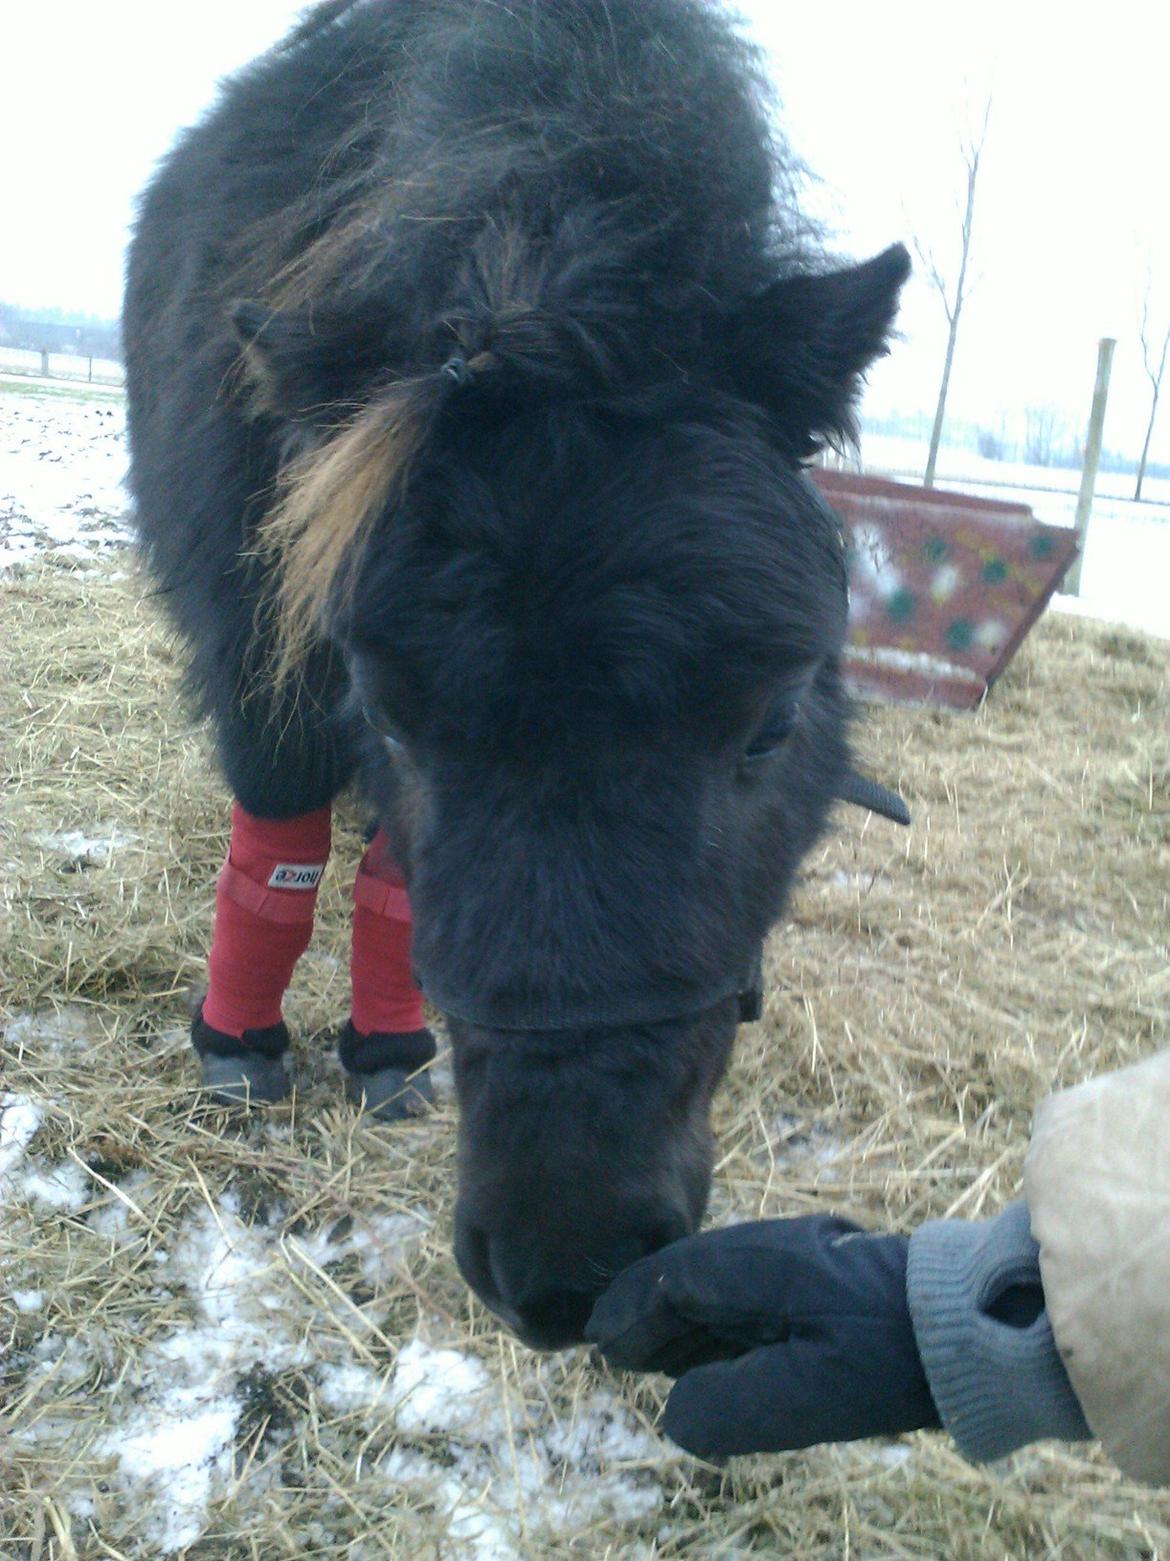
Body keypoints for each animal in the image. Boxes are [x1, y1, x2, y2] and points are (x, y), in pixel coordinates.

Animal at [130, 0, 917, 1342]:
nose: (569, 1261)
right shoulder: (261, 662)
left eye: (769, 721)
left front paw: (386, 1052)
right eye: (388, 715)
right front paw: (238, 1044)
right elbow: (277, 851)